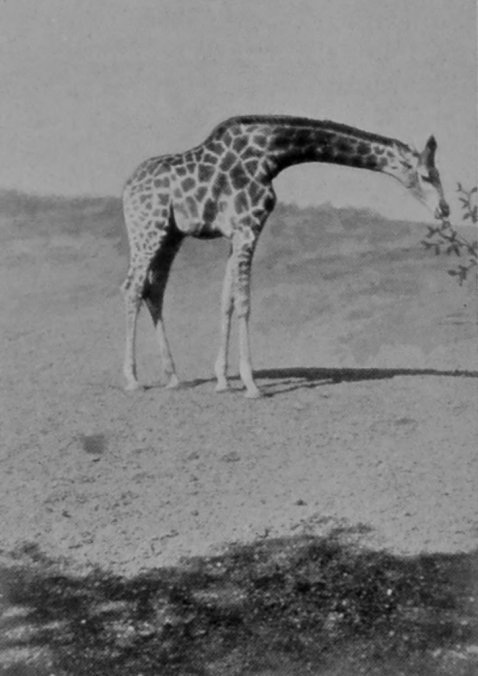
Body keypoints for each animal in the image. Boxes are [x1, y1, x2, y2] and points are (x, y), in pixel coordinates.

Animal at [121, 115, 449, 398]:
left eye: (439, 174)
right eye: (426, 175)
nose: (444, 210)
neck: (272, 155)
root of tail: (126, 189)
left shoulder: (235, 234)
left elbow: (226, 300)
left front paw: (223, 381)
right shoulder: (248, 227)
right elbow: (244, 302)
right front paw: (251, 384)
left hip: (170, 236)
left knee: (154, 291)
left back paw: (173, 377)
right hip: (147, 230)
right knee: (133, 289)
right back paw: (133, 379)